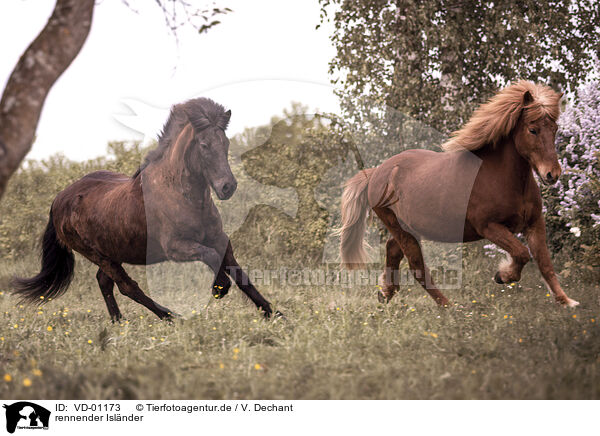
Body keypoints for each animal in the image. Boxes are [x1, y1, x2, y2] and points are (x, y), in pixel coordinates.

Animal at [13, 99, 276, 324]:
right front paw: (219, 288)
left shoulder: (220, 240)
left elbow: (240, 275)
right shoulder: (176, 247)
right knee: (127, 286)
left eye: (226, 143)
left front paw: (273, 314)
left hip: (111, 252)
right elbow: (211, 257)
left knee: (105, 283)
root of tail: (58, 200)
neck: (183, 195)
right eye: (204, 145)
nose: (227, 186)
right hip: (98, 255)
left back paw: (119, 323)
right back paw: (171, 318)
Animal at [342, 81, 580, 306]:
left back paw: (386, 293)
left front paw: (567, 302)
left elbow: (545, 263)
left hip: (409, 228)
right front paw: (503, 275)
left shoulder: (534, 223)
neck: (502, 178)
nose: (552, 174)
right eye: (533, 130)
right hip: (399, 226)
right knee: (417, 265)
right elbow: (522, 253)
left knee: (392, 250)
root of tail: (376, 172)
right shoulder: (489, 227)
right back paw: (449, 307)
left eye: (554, 129)